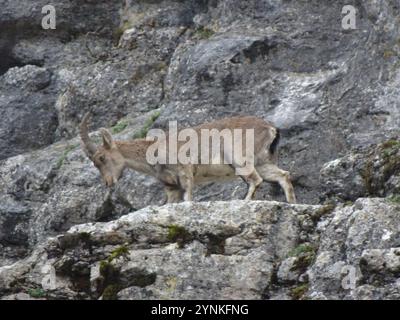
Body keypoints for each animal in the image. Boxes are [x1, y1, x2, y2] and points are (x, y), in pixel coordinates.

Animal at [79, 112, 296, 202]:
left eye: (101, 158)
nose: (108, 182)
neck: (154, 151)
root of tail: (271, 128)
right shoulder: (171, 186)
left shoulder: (185, 173)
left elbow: (188, 199)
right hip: (263, 162)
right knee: (283, 175)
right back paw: (292, 204)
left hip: (239, 158)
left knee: (256, 180)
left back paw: (244, 202)